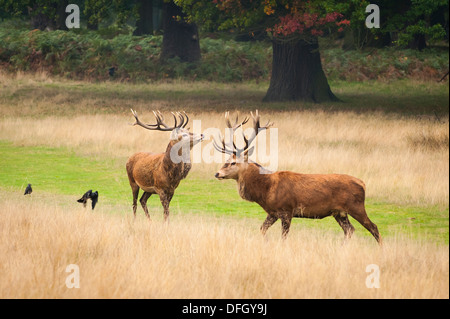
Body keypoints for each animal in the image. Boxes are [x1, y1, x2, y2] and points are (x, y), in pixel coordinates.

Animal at [213, 110, 382, 245]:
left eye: (233, 162)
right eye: (225, 161)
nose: (217, 173)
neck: (266, 191)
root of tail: (363, 183)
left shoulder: (286, 210)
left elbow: (283, 237)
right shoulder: (272, 212)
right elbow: (262, 229)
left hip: (356, 206)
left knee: (373, 227)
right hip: (339, 212)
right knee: (350, 230)